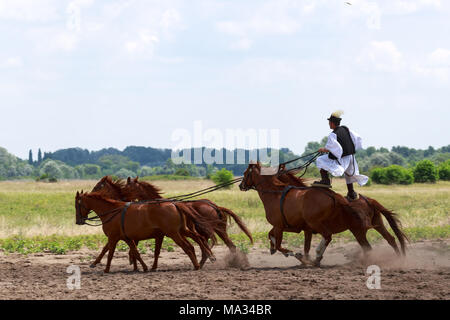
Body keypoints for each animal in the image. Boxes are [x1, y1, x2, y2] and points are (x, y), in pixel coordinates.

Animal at [239, 164, 408, 266]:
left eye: (245, 173)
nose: (240, 185)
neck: (276, 194)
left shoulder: (282, 226)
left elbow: (281, 244)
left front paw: (296, 255)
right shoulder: (300, 229)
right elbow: (276, 237)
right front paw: (280, 250)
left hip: (352, 229)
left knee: (332, 237)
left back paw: (319, 257)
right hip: (376, 224)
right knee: (390, 239)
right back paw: (398, 259)